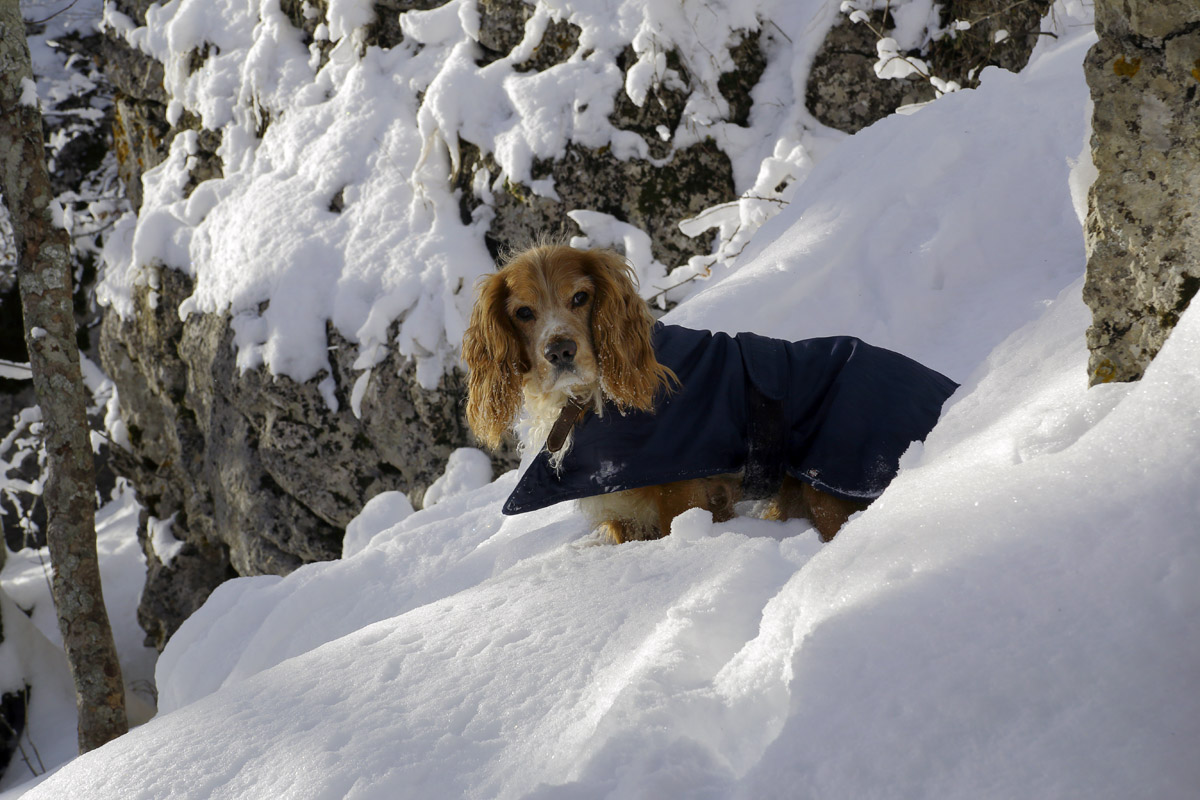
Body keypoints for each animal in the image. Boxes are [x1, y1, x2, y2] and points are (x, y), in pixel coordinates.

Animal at [458, 244, 955, 544]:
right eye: (524, 312)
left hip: (831, 487)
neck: (592, 396)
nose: (559, 350)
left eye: (580, 298)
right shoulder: (623, 515)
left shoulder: (683, 496)